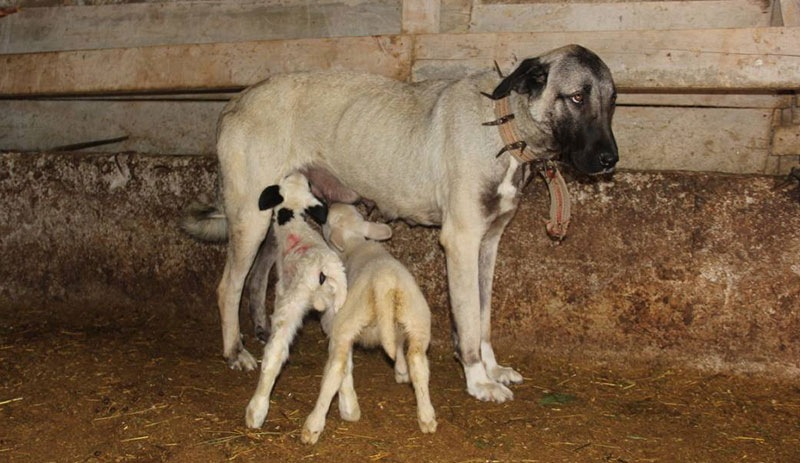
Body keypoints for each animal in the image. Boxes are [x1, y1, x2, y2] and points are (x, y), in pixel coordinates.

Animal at [183, 45, 620, 404]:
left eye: (613, 101)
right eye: (577, 97)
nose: (610, 160)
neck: (503, 124)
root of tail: (234, 101)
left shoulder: (488, 244)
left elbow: (483, 317)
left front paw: (492, 368)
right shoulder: (461, 242)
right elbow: (469, 318)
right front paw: (478, 379)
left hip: (279, 215)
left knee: (258, 276)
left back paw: (260, 328)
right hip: (250, 219)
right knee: (229, 286)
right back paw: (235, 352)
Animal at [242, 173, 346, 432]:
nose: (299, 173)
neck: (296, 223)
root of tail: (324, 269)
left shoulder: (282, 291)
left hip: (291, 305)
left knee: (274, 354)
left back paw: (256, 411)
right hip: (338, 310)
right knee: (340, 360)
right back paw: (335, 414)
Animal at [302, 205, 438, 444]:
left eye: (326, 221)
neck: (356, 243)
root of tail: (385, 281)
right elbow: (398, 345)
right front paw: (401, 371)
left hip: (345, 325)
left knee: (335, 370)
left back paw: (313, 425)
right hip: (417, 319)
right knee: (418, 363)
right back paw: (426, 416)